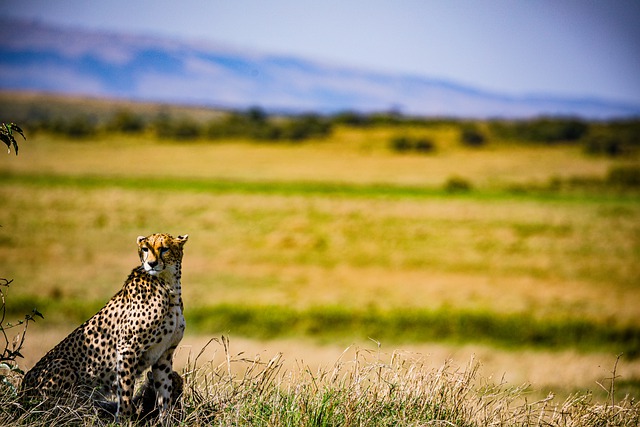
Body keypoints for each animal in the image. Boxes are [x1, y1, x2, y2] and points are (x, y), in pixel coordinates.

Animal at [23, 232, 192, 420]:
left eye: (164, 249)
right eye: (145, 249)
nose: (152, 264)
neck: (169, 287)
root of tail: (21, 391)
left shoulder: (164, 353)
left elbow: (164, 392)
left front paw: (166, 418)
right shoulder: (127, 347)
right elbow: (125, 390)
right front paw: (123, 419)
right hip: (61, 365)